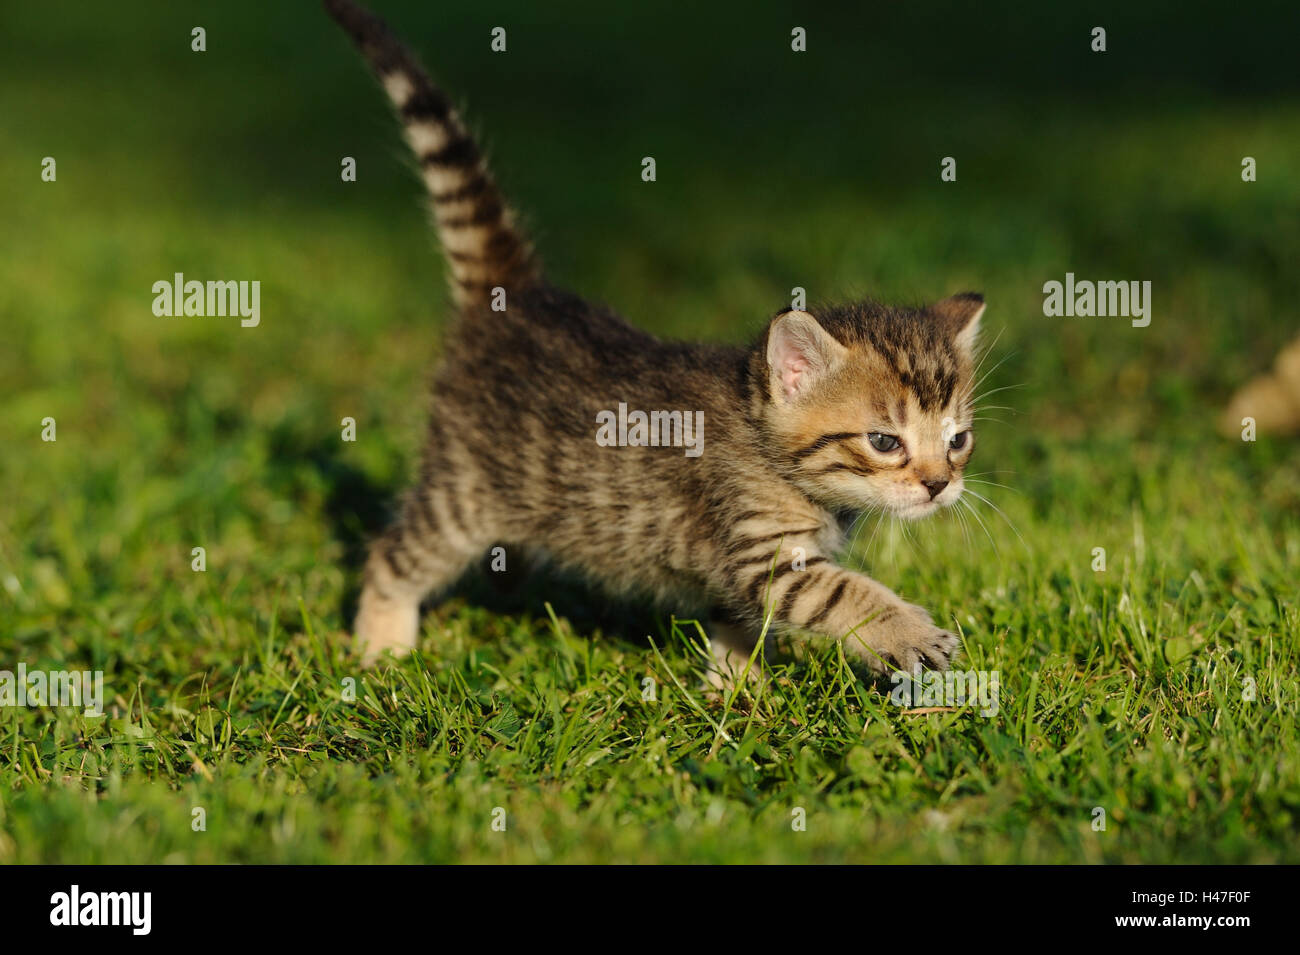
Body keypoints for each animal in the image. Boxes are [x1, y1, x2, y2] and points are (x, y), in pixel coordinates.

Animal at [325, 1, 982, 686]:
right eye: (884, 442)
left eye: (957, 440)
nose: (939, 486)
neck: (766, 448)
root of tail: (517, 295)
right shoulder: (761, 551)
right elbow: (843, 594)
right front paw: (911, 634)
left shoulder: (744, 566)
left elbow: (740, 620)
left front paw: (734, 686)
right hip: (463, 493)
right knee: (392, 555)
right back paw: (381, 649)